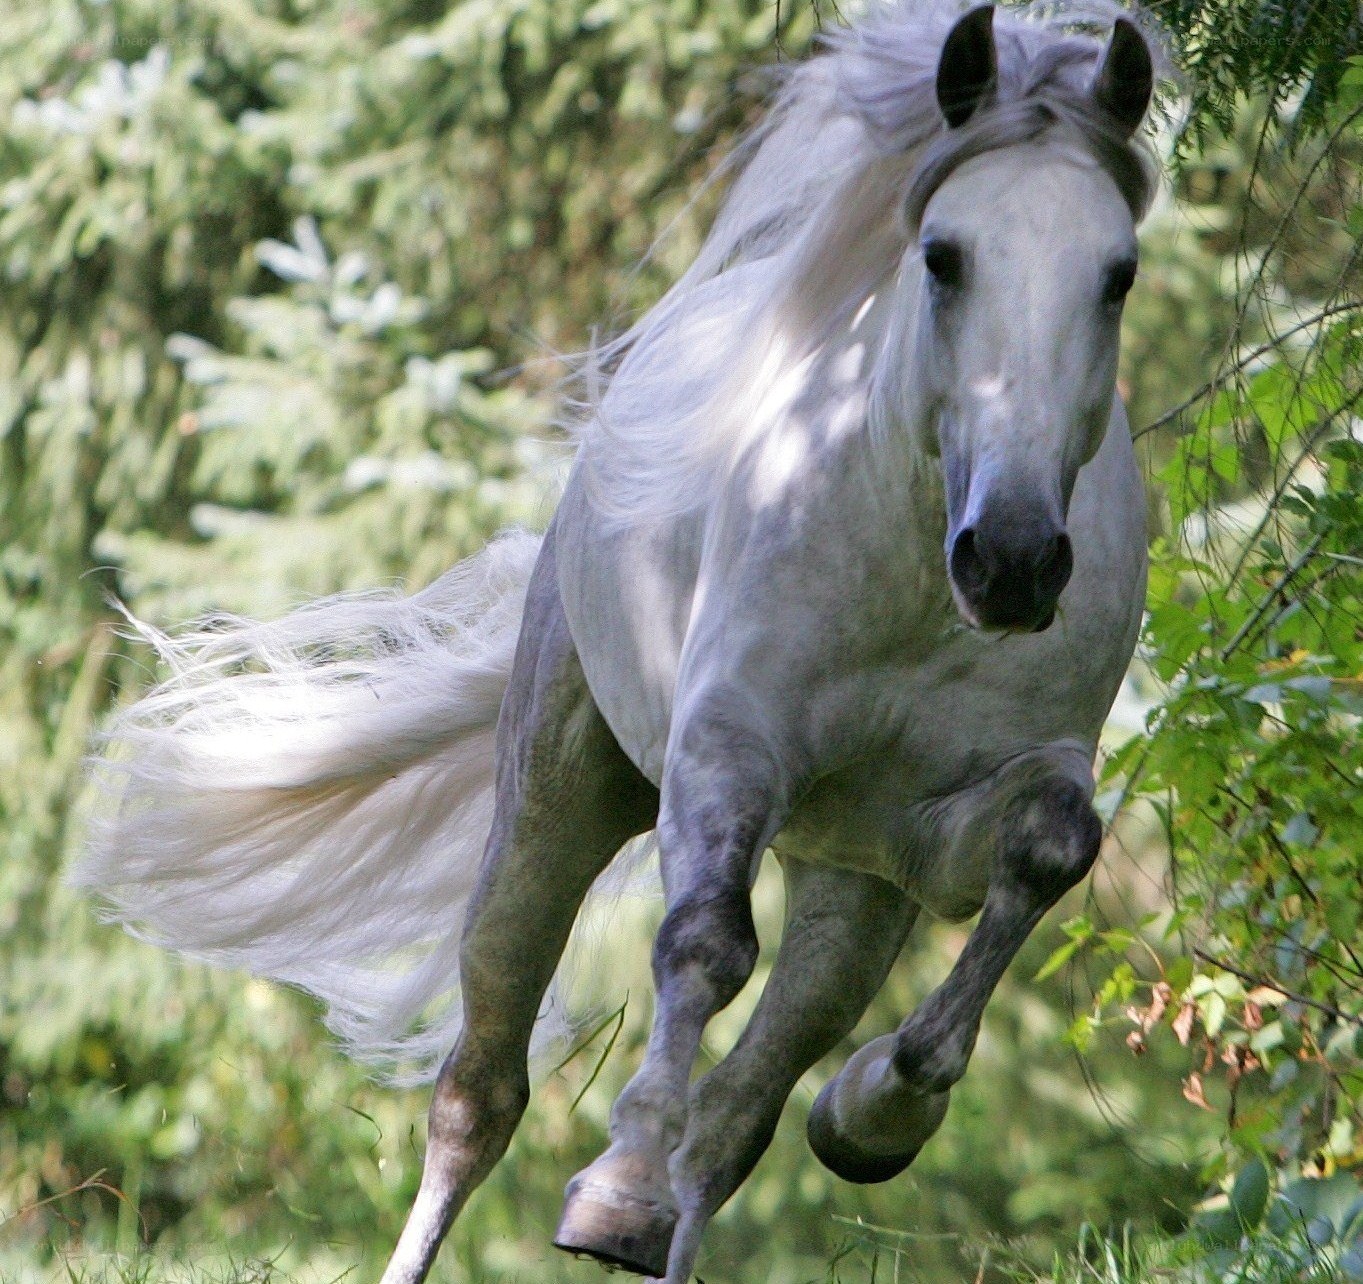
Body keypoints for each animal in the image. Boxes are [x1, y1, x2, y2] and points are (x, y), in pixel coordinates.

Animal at [78, 2, 1159, 1280]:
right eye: (943, 257)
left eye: (1116, 275)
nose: (1013, 558)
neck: (910, 582)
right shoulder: (726, 746)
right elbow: (703, 945)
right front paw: (616, 1191)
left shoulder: (962, 806)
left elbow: (1048, 849)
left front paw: (876, 1114)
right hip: (553, 801)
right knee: (479, 1093)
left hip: (847, 887)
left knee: (734, 1125)